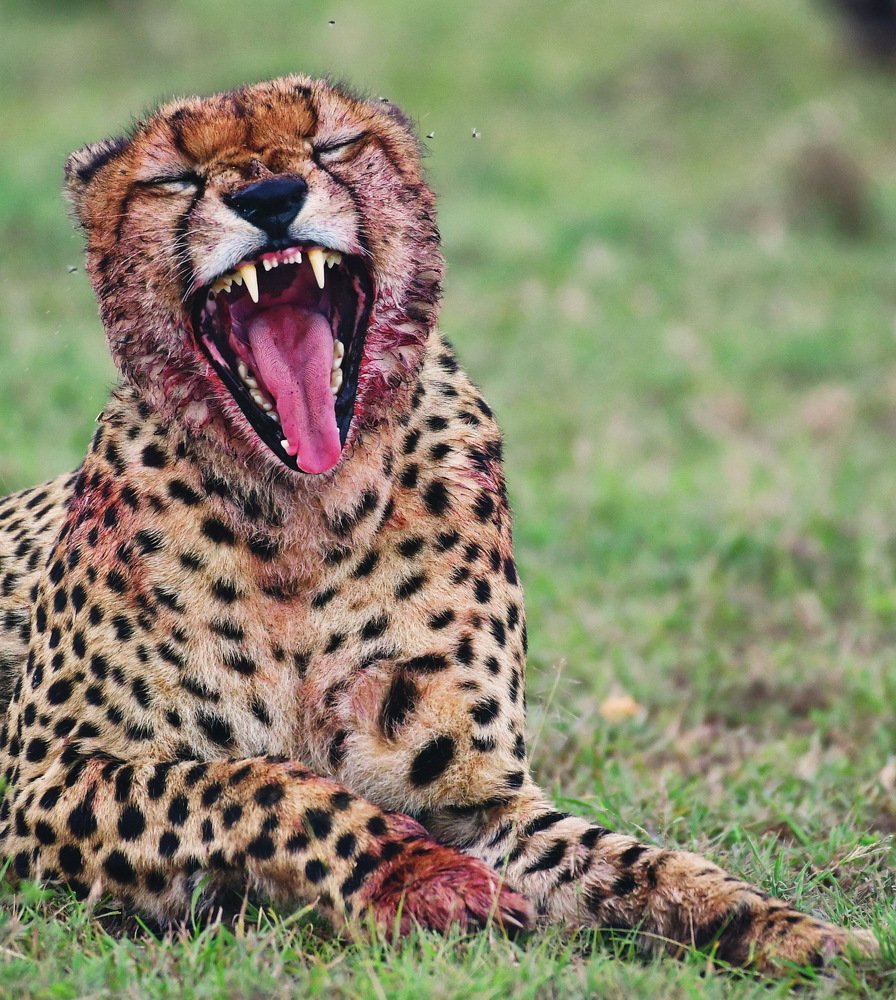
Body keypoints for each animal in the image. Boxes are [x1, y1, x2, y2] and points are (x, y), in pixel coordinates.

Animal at [0, 74, 878, 973]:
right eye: (175, 176)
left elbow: (636, 865)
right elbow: (261, 783)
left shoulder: (476, 801)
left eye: (333, 144)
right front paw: (420, 876)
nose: (271, 198)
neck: (303, 511)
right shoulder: (47, 781)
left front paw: (794, 931)